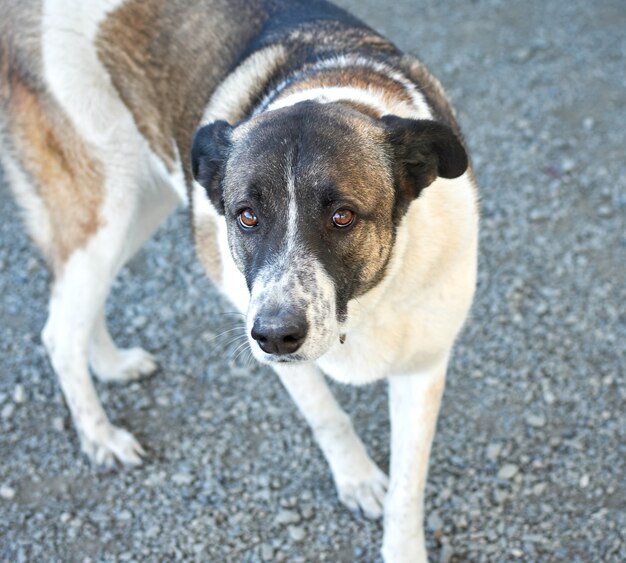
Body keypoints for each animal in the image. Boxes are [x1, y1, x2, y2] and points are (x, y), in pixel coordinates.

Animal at [1, 0, 478, 560]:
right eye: (246, 216)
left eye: (342, 216)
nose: (274, 335)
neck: (363, 306)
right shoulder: (276, 344)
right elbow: (327, 416)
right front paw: (357, 478)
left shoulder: (423, 366)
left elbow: (408, 488)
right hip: (103, 200)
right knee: (59, 331)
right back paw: (102, 437)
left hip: (140, 203)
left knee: (77, 309)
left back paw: (111, 363)